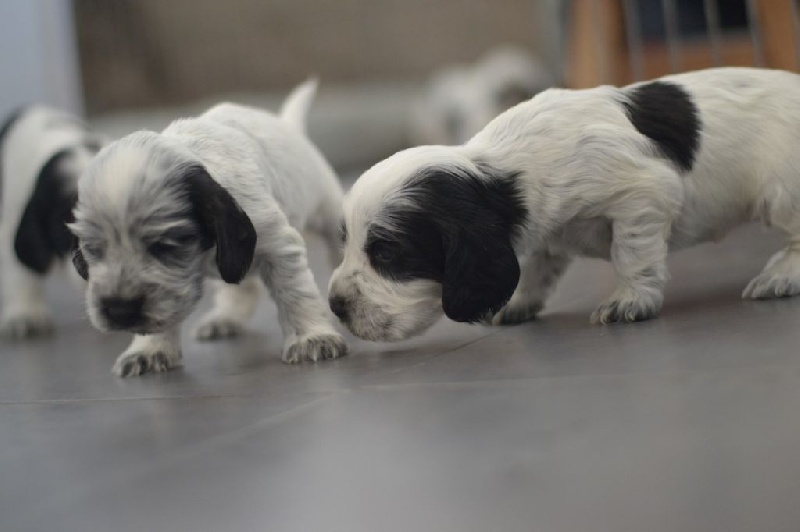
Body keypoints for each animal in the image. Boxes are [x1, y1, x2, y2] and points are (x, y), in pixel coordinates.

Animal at [70, 80, 348, 377]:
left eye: (164, 246)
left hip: (328, 214)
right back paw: (225, 318)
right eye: (93, 249)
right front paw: (150, 350)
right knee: (242, 288)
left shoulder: (278, 246)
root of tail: (287, 125)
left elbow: (294, 294)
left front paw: (311, 338)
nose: (119, 310)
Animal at [329, 67, 800, 342]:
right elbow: (535, 266)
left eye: (388, 254)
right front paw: (517, 304)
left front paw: (630, 299)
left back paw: (780, 276)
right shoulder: (545, 230)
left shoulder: (643, 193)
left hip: (782, 191)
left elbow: (632, 253)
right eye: (345, 242)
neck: (507, 173)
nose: (334, 306)